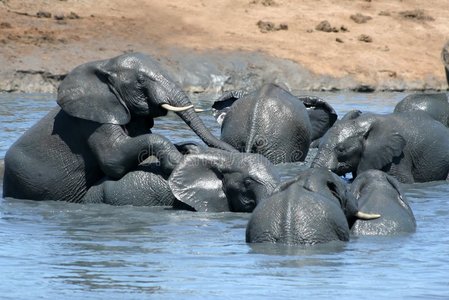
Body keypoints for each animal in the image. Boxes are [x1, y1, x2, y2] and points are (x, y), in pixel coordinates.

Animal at [2, 52, 234, 203]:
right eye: (141, 80)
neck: (104, 65)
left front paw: (189, 149)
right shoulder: (93, 121)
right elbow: (113, 159)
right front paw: (176, 161)